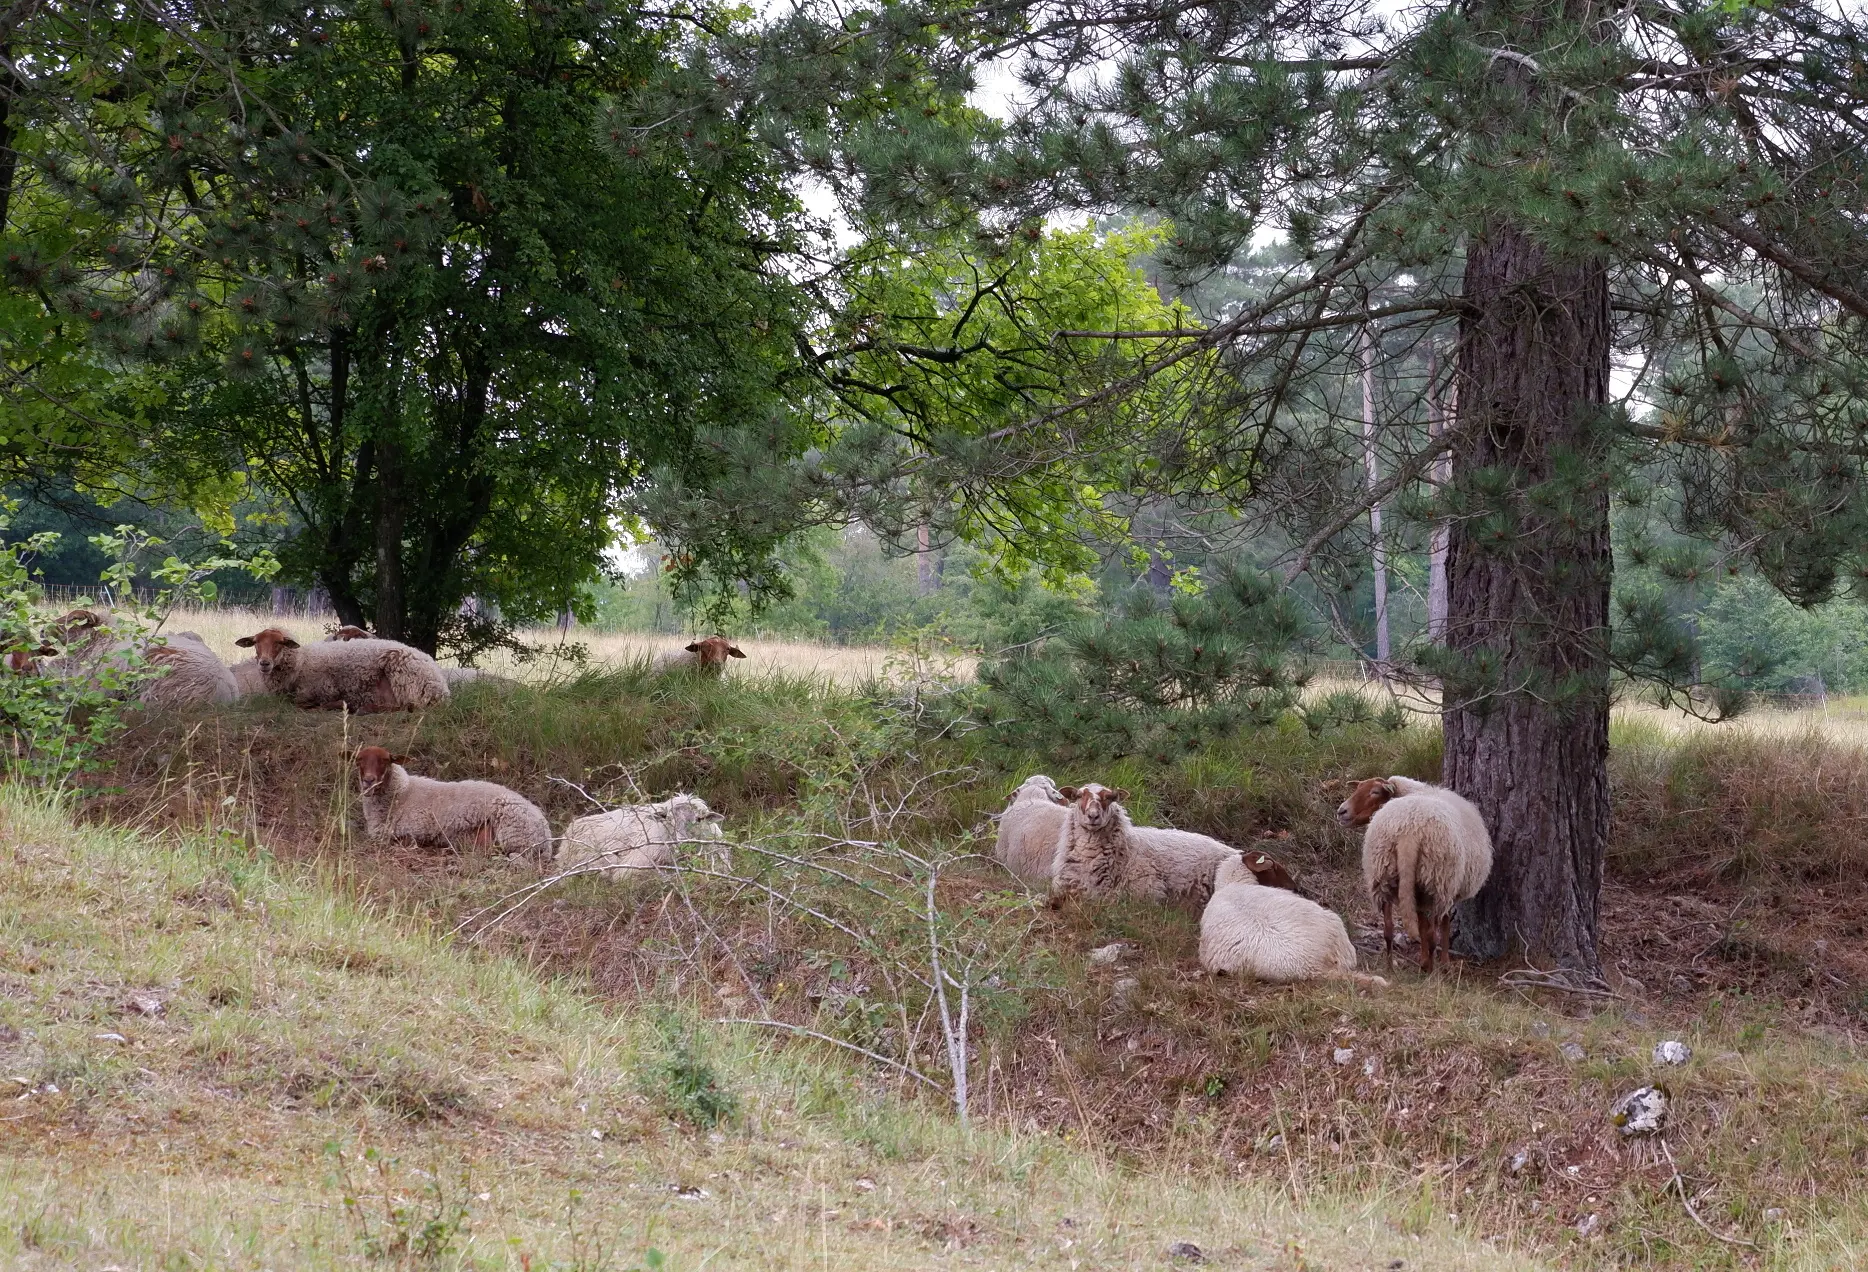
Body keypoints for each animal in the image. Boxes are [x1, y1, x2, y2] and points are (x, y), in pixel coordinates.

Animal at [234, 627, 449, 713]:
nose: (264, 663)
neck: (301, 662)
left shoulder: (321, 690)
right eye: (255, 642)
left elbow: (305, 704)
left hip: (407, 683)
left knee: (408, 706)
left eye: (280, 643)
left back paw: (362, 708)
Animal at [354, 745, 551, 861]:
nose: (369, 780)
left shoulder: (414, 831)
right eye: (359, 760)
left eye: (385, 760)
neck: (403, 792)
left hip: (514, 836)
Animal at [1336, 775, 1494, 974]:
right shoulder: (1447, 888)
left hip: (1384, 873)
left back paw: (1391, 967)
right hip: (1438, 880)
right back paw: (1432, 970)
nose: (1341, 811)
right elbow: (1442, 923)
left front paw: (1424, 960)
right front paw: (1443, 962)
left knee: (1389, 929)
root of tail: (1409, 831)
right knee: (1434, 931)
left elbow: (1422, 922)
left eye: (1375, 792)